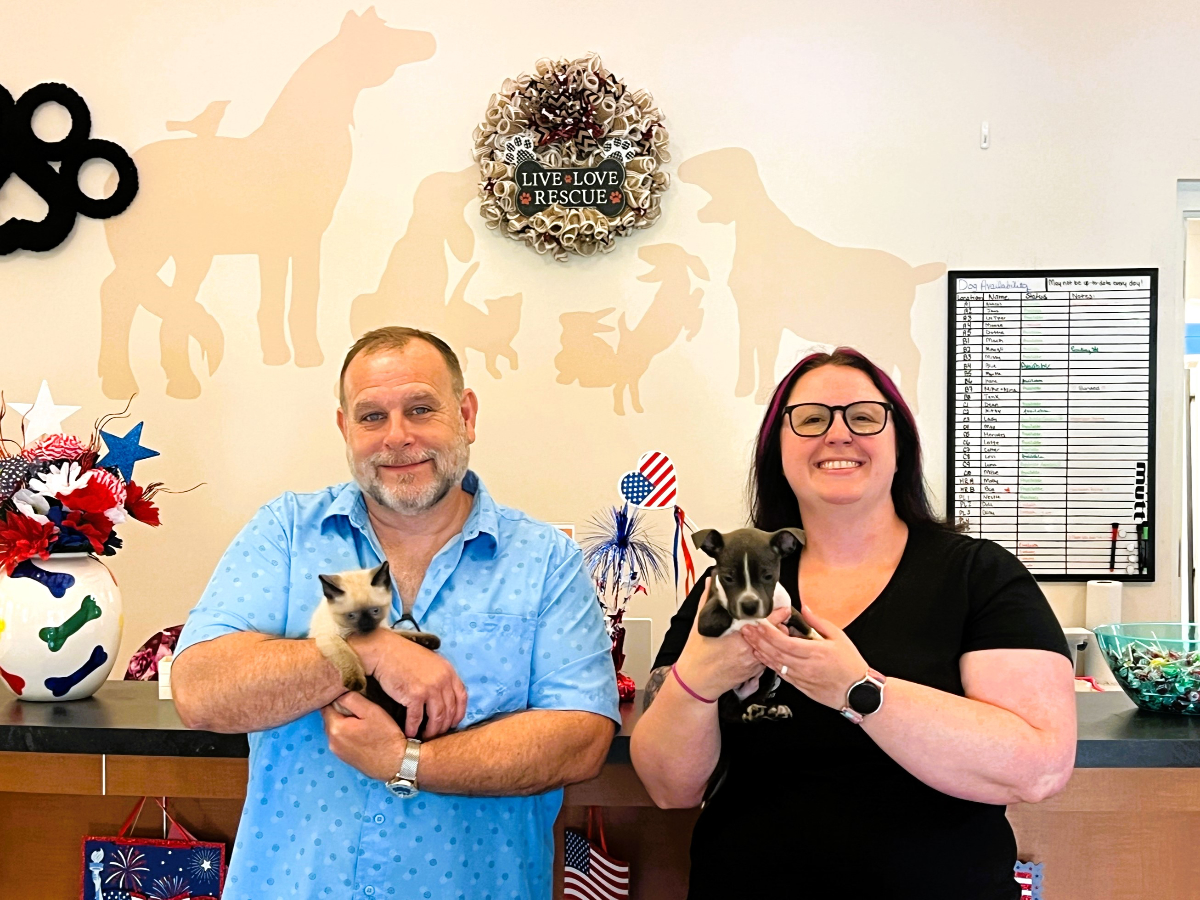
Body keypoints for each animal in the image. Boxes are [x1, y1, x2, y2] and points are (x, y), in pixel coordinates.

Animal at [691, 528, 820, 724]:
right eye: (728, 578)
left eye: (768, 576)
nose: (749, 604)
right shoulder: (707, 620)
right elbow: (744, 619)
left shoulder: (787, 608)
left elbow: (803, 623)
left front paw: (819, 639)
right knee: (730, 711)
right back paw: (754, 712)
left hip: (767, 676)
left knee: (749, 701)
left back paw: (770, 710)